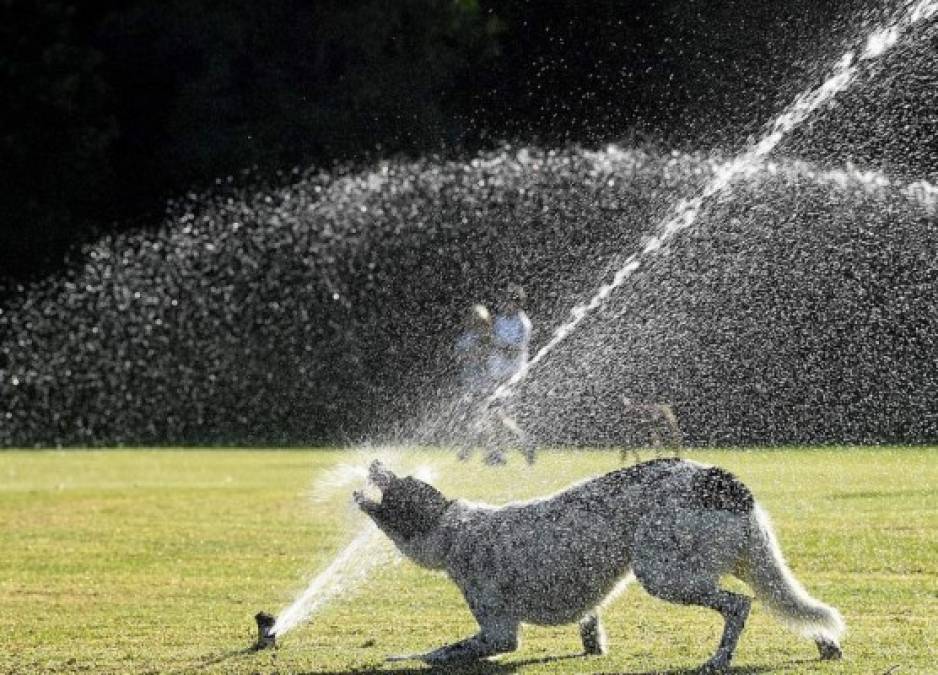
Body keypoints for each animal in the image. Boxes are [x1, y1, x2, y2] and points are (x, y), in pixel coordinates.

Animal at [354, 460, 844, 672]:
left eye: (394, 483)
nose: (373, 460)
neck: (452, 526)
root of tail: (724, 481)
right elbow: (590, 628)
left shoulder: (498, 632)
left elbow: (441, 651)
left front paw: (404, 657)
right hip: (748, 562)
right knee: (793, 607)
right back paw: (827, 646)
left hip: (663, 573)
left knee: (739, 605)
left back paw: (718, 660)